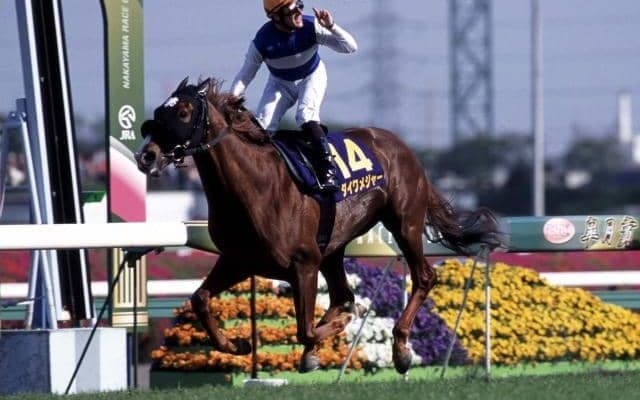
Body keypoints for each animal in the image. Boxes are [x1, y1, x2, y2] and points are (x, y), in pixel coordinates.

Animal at [136, 77, 503, 374]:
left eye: (184, 113)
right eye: (160, 111)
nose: (147, 156)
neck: (253, 188)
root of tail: (400, 145)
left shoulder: (304, 263)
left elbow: (306, 329)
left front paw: (328, 336)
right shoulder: (238, 260)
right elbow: (200, 298)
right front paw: (236, 344)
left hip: (404, 223)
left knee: (423, 277)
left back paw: (400, 349)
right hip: (334, 248)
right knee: (343, 293)